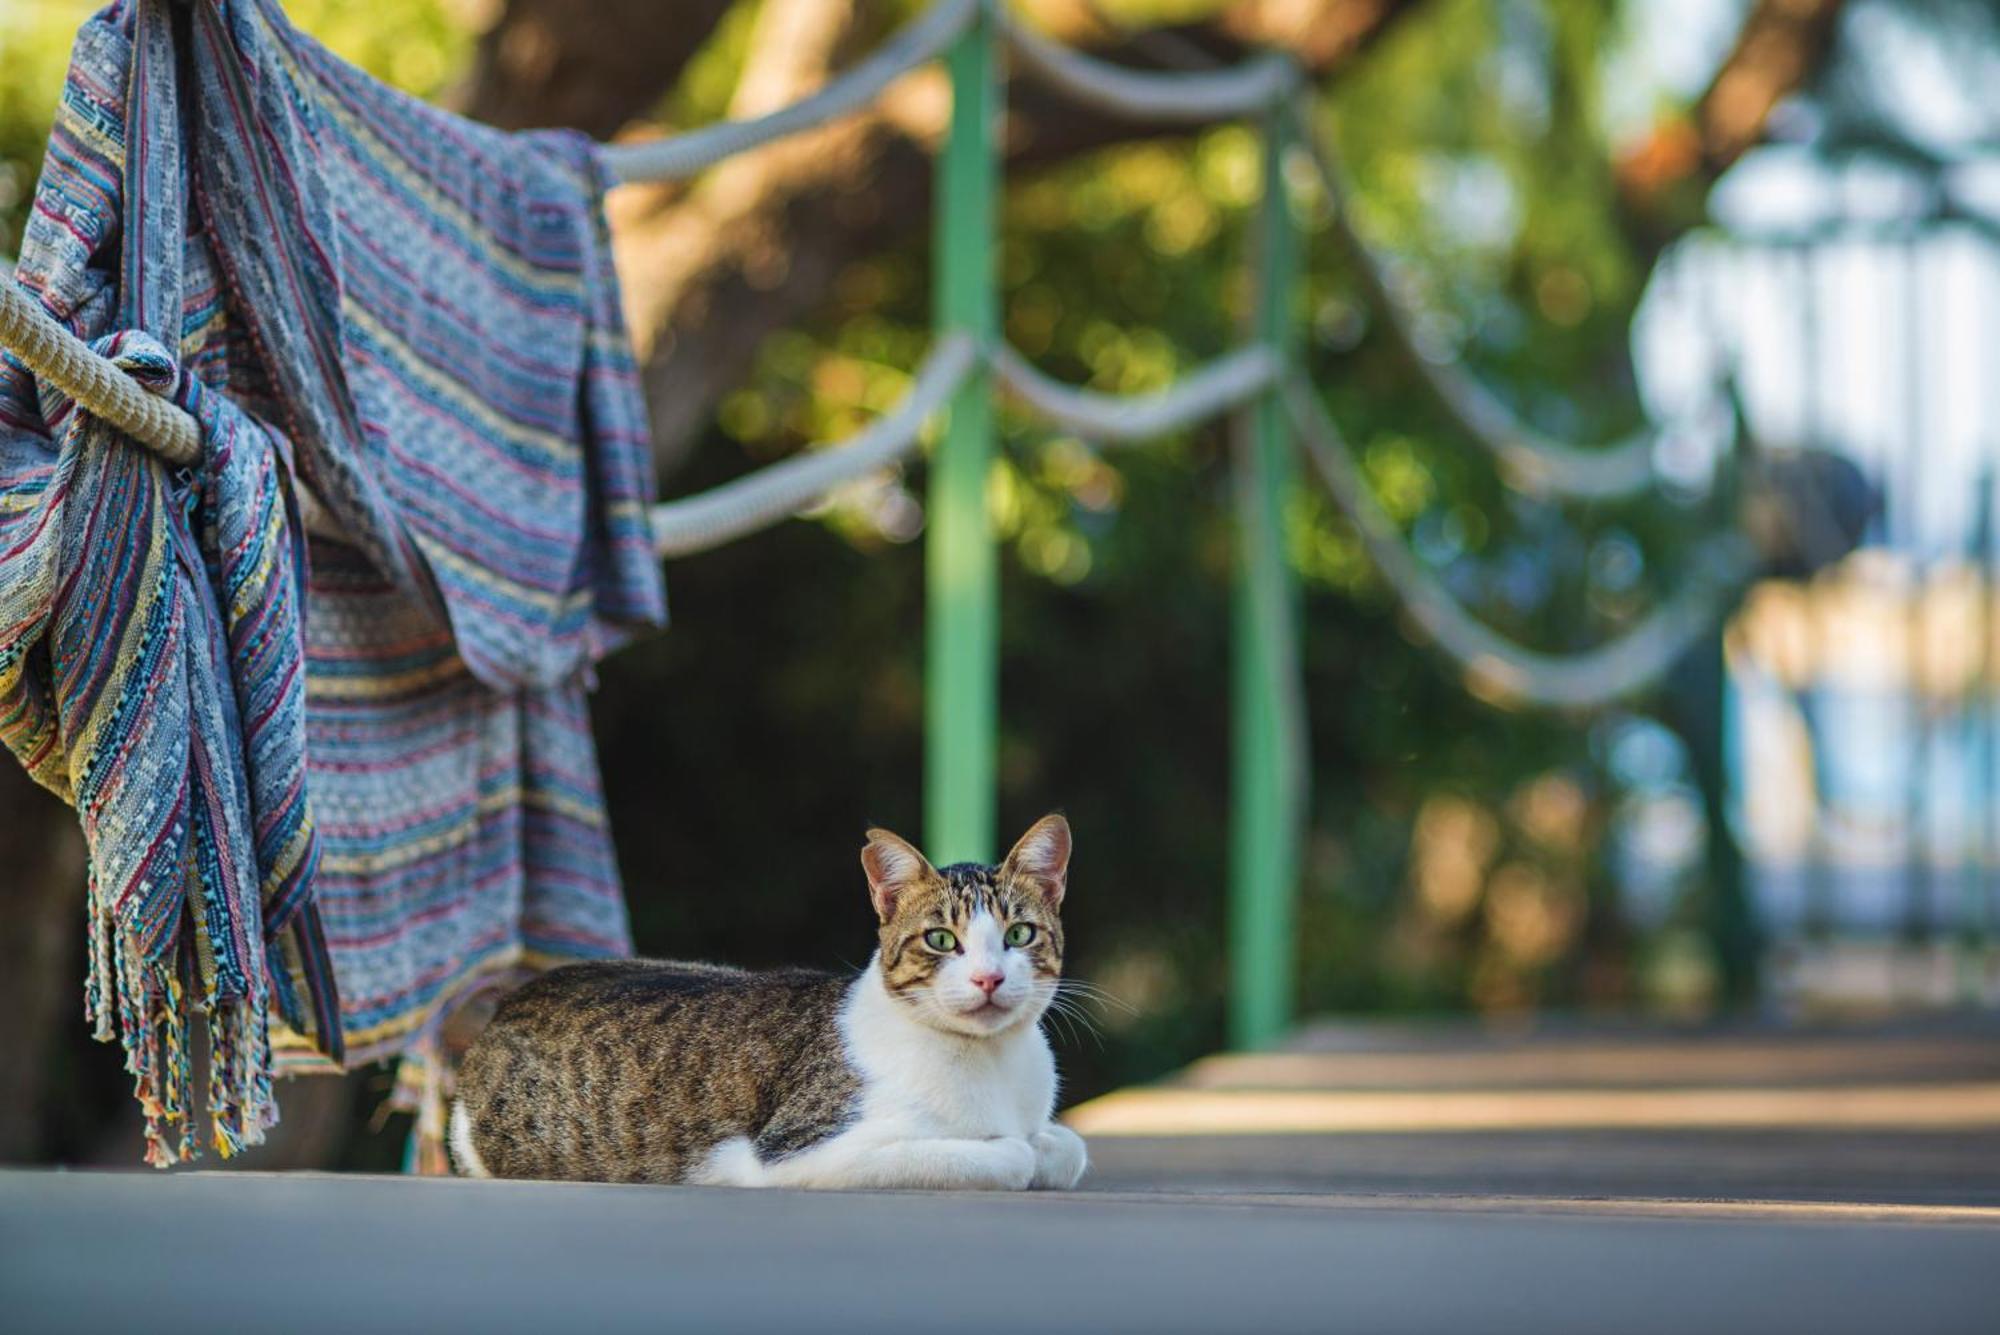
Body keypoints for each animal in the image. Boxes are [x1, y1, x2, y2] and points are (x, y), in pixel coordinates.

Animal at [448, 807, 1088, 1191]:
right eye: (941, 940)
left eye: (1019, 935)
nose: (988, 980)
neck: (994, 1063)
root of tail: (510, 1001)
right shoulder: (804, 1156)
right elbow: (1009, 1153)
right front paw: (1018, 1150)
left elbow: (1069, 1146)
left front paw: (1046, 1145)